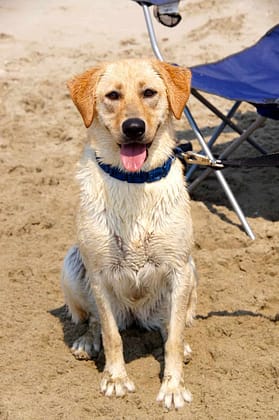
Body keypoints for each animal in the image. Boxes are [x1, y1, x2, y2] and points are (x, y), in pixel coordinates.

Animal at [61, 59, 198, 410]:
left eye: (149, 92)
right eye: (112, 95)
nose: (134, 127)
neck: (133, 181)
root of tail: (137, 315)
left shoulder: (178, 269)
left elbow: (173, 338)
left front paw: (172, 387)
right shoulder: (98, 274)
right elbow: (111, 335)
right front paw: (115, 379)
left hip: (191, 272)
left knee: (171, 324)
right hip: (72, 266)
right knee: (94, 320)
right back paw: (86, 342)